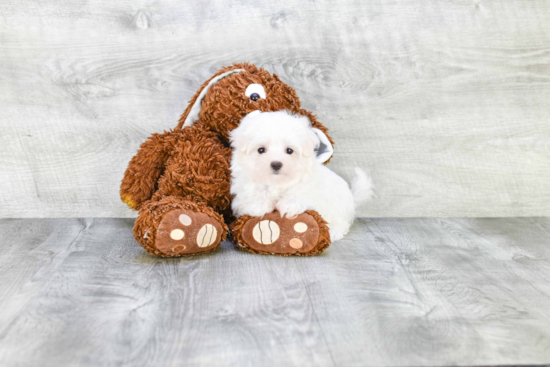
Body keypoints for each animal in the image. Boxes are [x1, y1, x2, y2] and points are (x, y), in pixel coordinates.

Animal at [229, 110, 376, 243]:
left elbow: (300, 193)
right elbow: (253, 194)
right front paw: (258, 205)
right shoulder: (244, 186)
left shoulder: (310, 187)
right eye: (261, 150)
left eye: (289, 150)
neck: (277, 182)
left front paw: (288, 205)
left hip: (338, 207)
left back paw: (334, 231)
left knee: (341, 223)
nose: (276, 164)